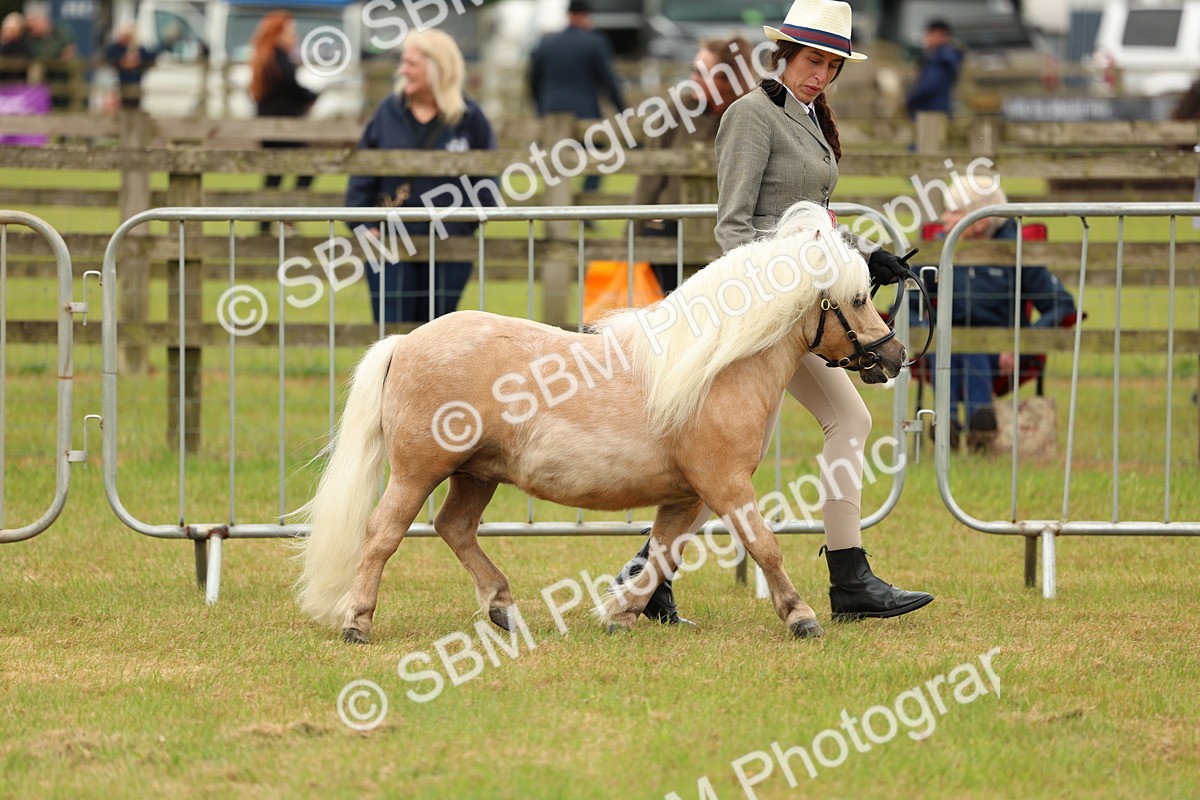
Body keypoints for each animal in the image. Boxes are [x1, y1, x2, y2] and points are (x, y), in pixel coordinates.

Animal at [294, 201, 906, 643]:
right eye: (857, 298)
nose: (896, 355)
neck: (712, 369)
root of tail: (405, 342)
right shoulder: (726, 486)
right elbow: (764, 546)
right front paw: (801, 616)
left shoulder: (688, 496)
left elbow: (661, 555)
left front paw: (622, 614)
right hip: (419, 470)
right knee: (383, 533)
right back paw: (357, 622)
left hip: (477, 473)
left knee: (455, 528)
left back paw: (504, 609)